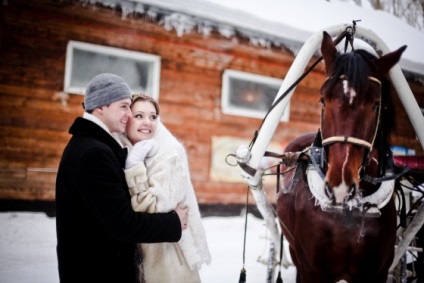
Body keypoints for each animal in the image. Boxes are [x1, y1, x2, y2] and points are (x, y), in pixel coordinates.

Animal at [276, 31, 406, 283]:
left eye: (376, 104)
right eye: (323, 100)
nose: (341, 186)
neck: (349, 212)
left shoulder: (375, 273)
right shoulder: (312, 271)